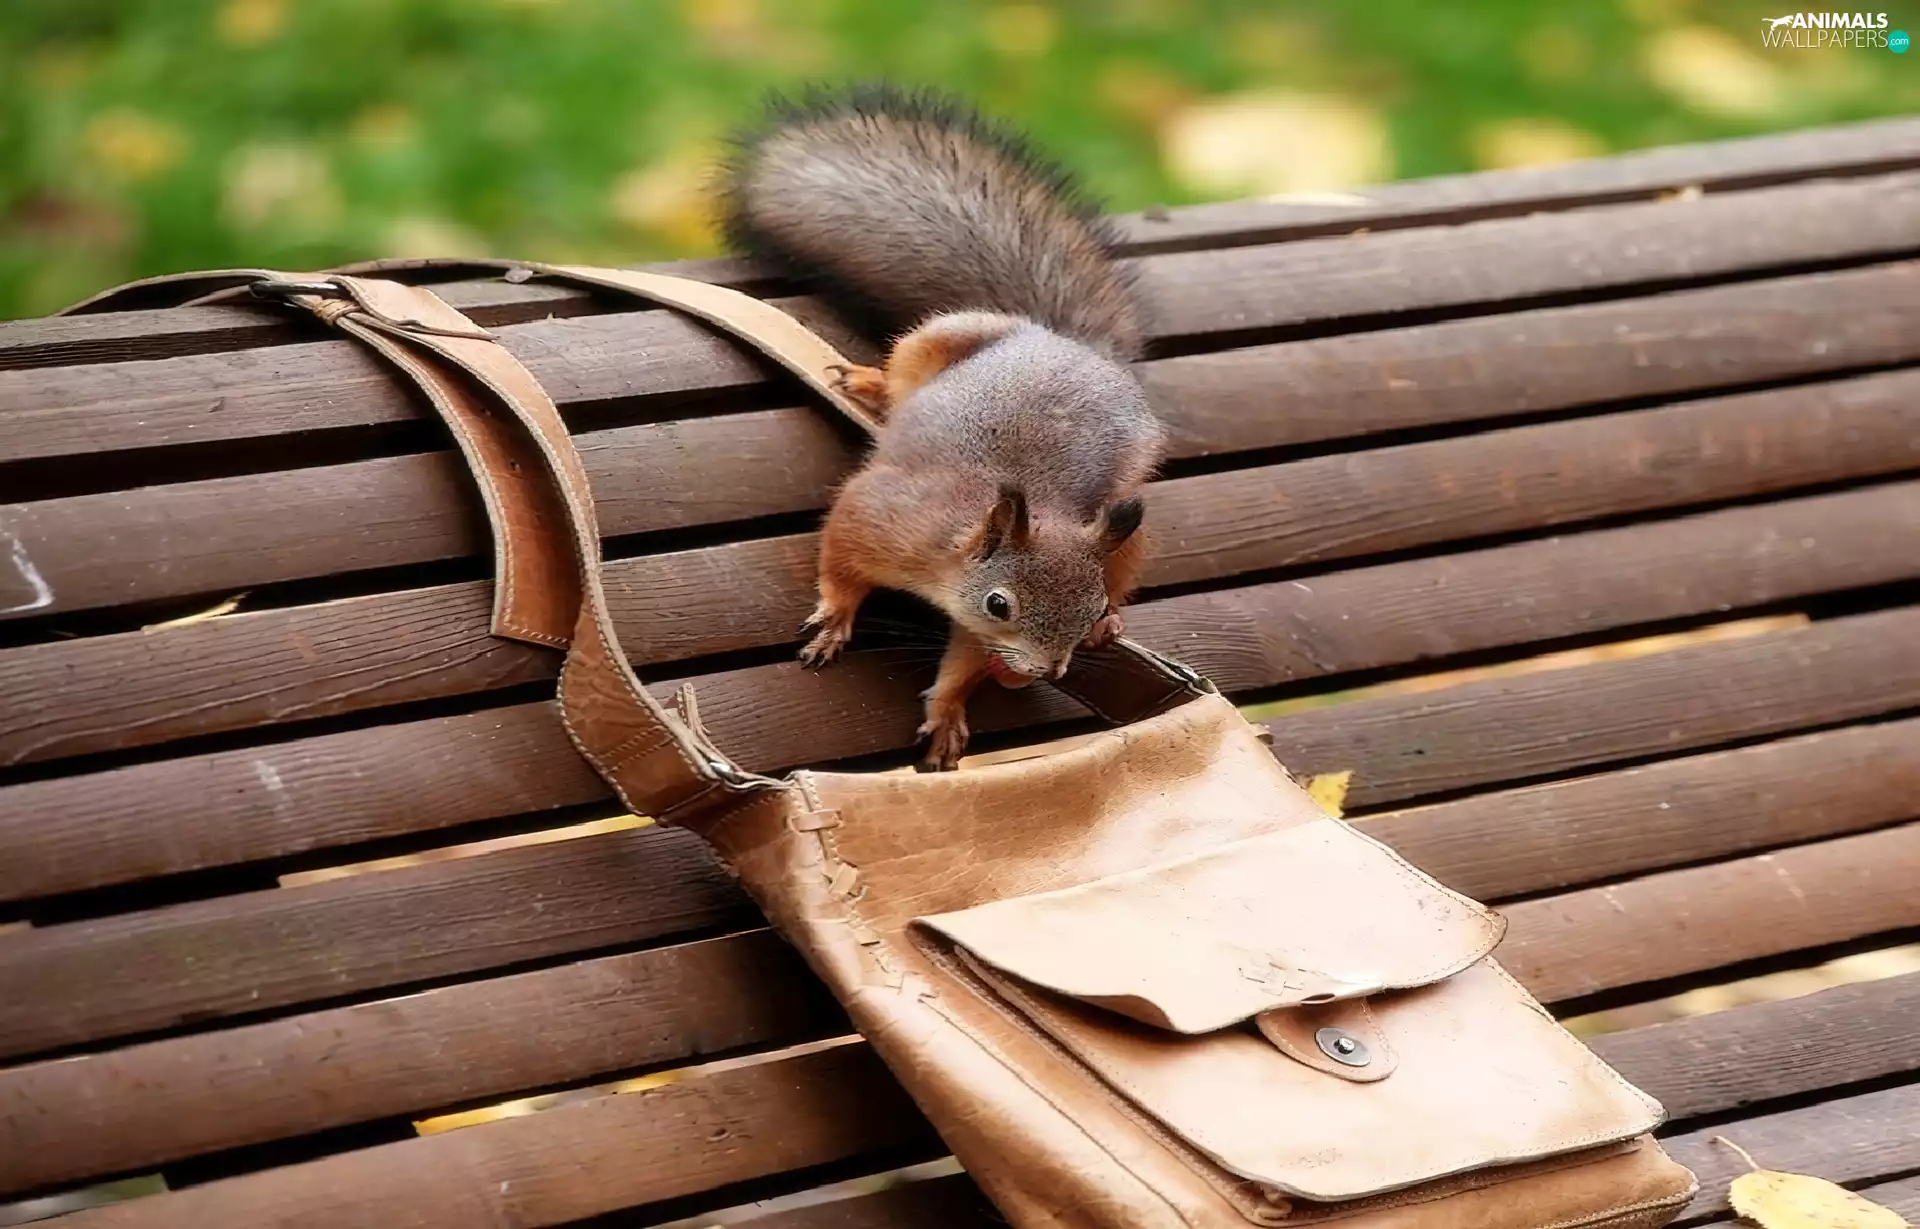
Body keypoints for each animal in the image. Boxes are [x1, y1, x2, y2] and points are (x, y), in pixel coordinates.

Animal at [722, 84, 1164, 771]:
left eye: (1084, 602)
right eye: (1000, 603)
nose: (1040, 672)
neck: (949, 557)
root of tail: (1070, 347)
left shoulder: (976, 625)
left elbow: (964, 661)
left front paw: (950, 708)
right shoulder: (877, 516)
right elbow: (840, 561)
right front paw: (835, 617)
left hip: (1129, 503)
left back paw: (1114, 622)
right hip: (942, 336)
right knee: (905, 373)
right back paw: (870, 385)